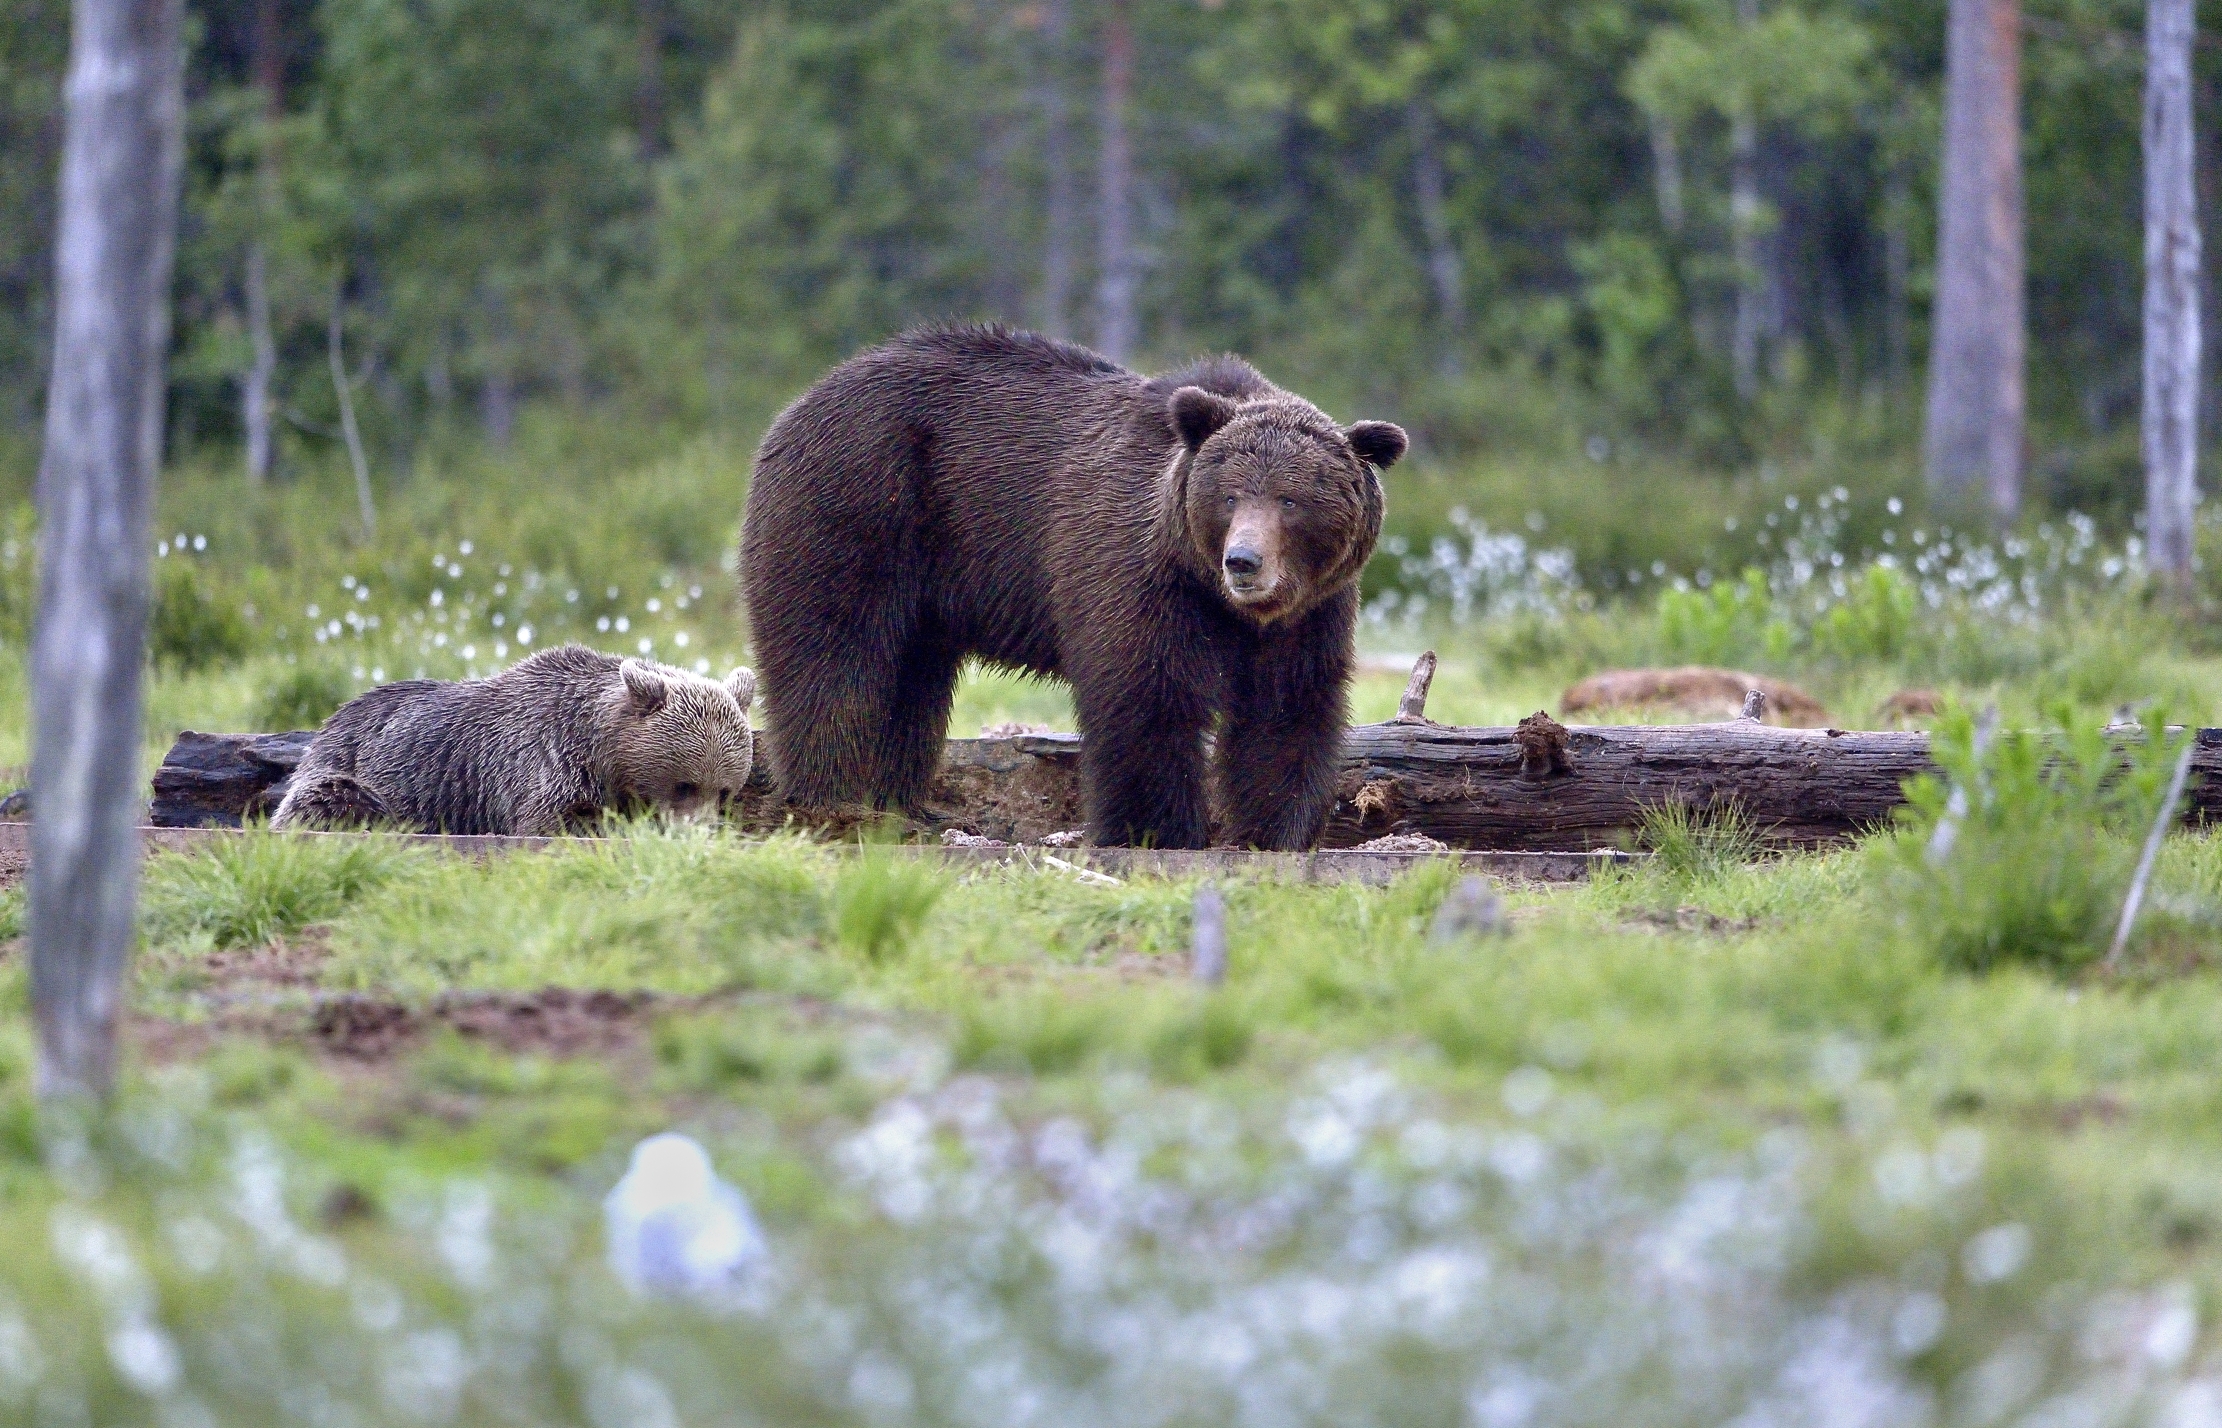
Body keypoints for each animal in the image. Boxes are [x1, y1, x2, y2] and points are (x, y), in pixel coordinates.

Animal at [270, 645, 756, 836]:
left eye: (725, 791)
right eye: (684, 785)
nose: (705, 831)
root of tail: (333, 719)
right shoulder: (543, 761)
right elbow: (553, 821)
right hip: (354, 769)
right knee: (333, 799)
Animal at [741, 323, 1406, 850]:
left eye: (1291, 500)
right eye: (1231, 495)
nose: (1244, 562)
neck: (1220, 600)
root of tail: (807, 397)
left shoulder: (1311, 614)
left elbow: (1287, 710)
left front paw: (1272, 832)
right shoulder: (1133, 570)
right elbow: (1145, 697)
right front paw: (1156, 831)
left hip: (922, 583)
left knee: (911, 676)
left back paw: (896, 802)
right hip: (858, 506)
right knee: (834, 652)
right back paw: (834, 798)